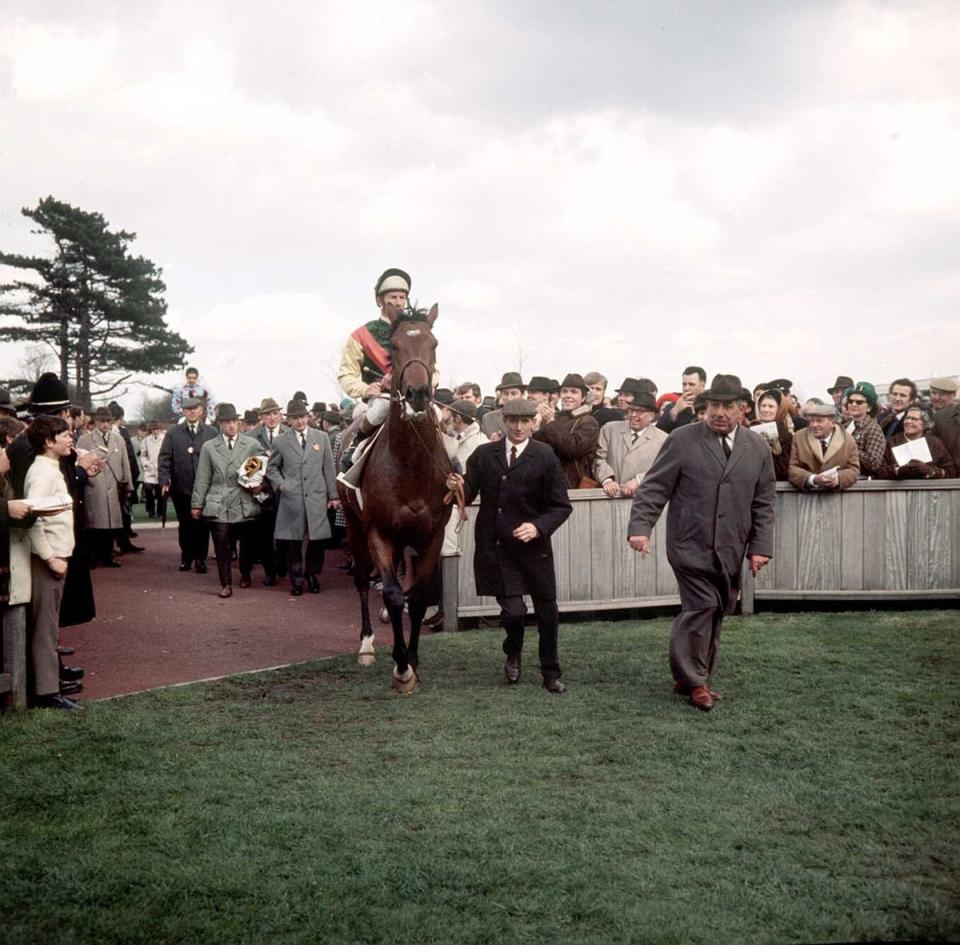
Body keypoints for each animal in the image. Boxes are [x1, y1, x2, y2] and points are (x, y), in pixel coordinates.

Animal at [338, 304, 458, 692]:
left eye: (434, 344)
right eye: (393, 348)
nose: (418, 394)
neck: (411, 464)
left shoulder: (432, 534)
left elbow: (417, 596)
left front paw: (414, 661)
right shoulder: (380, 532)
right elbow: (391, 593)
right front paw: (401, 667)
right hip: (354, 528)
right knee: (363, 580)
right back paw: (366, 645)